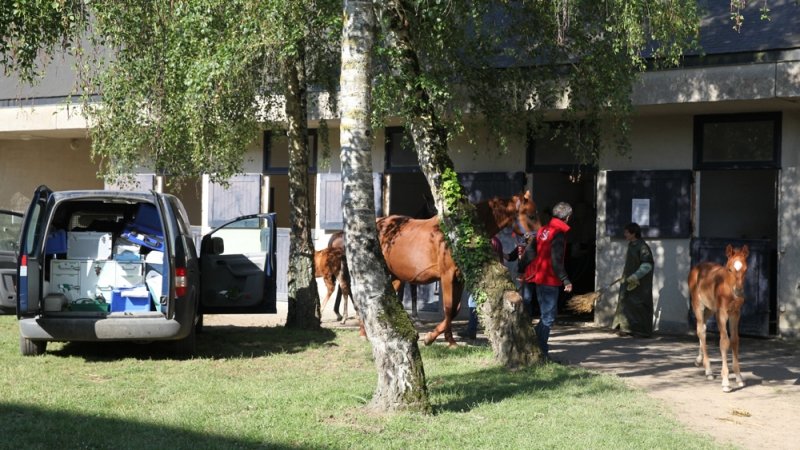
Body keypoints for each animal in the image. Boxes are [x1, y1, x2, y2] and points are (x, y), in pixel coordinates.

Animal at [330, 190, 537, 346]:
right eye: (531, 215)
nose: (535, 239)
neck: (457, 234)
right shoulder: (447, 276)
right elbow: (448, 308)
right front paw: (431, 338)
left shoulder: (459, 278)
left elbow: (454, 309)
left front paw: (448, 340)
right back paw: (364, 332)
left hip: (394, 276)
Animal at [687, 244, 750, 392]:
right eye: (729, 269)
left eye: (745, 269)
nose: (738, 291)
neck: (728, 287)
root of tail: (697, 267)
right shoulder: (721, 313)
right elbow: (724, 342)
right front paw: (726, 382)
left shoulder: (735, 313)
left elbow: (735, 340)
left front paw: (739, 378)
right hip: (698, 305)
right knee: (701, 330)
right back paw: (708, 370)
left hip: (710, 309)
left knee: (702, 326)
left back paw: (699, 360)